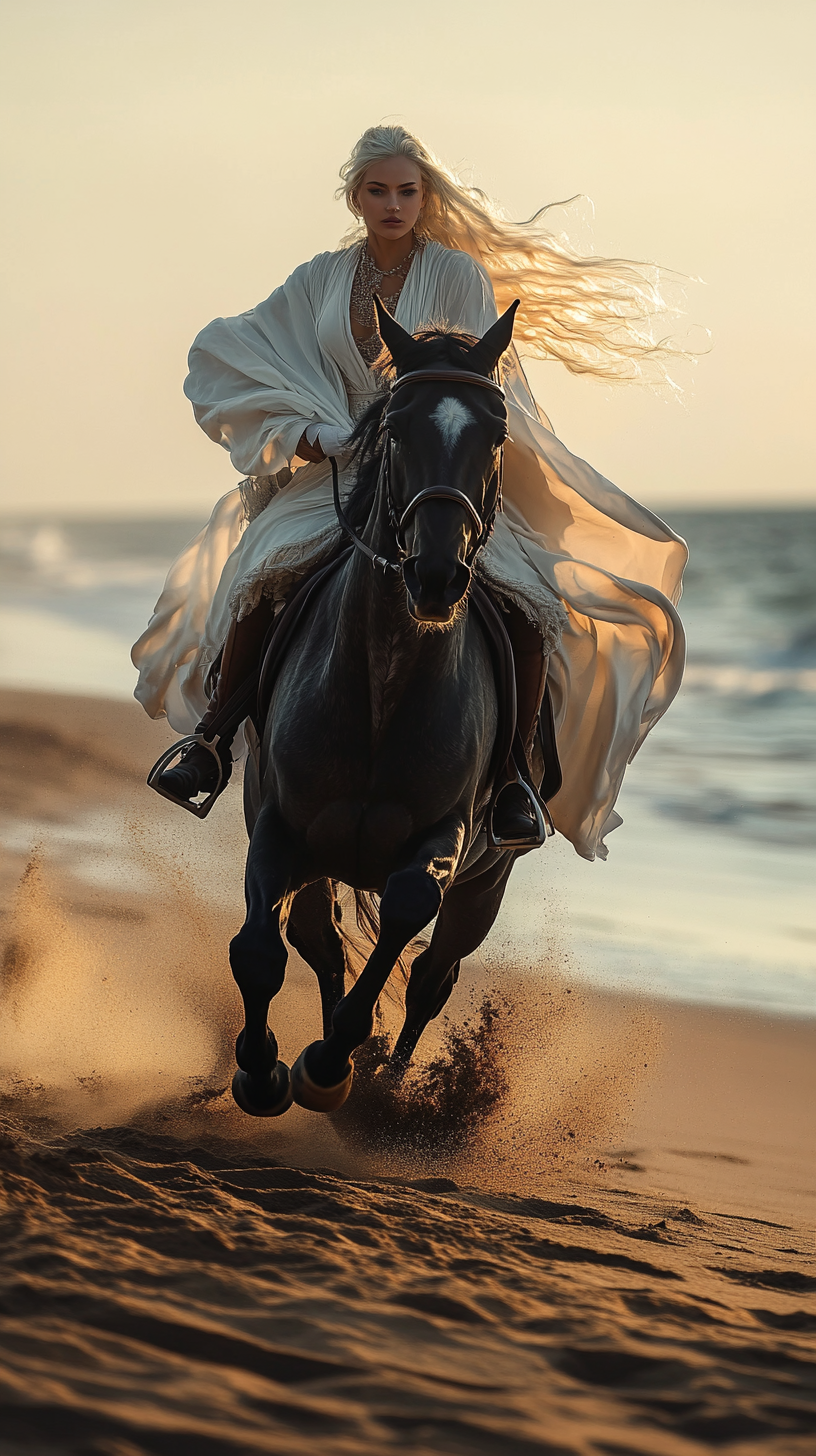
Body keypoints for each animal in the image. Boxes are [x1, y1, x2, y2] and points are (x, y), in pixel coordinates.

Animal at [230, 292, 547, 1112]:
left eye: (496, 435)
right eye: (398, 429)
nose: (436, 575)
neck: (384, 682)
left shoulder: (443, 839)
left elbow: (406, 911)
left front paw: (331, 1062)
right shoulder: (279, 824)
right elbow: (260, 948)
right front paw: (261, 1070)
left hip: (488, 882)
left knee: (435, 975)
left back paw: (386, 1080)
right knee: (319, 943)